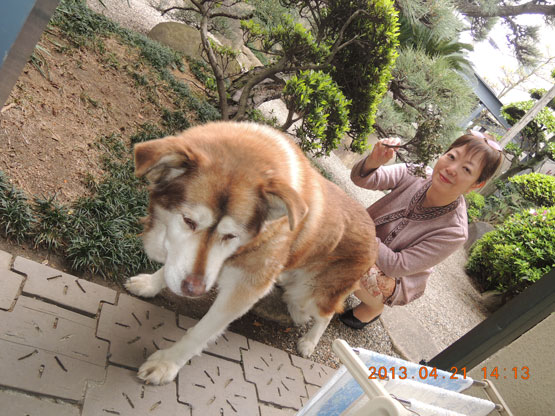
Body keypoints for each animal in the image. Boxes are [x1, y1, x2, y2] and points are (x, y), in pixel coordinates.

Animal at [125, 121, 377, 385]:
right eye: (188, 221)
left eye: (231, 235)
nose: (194, 290)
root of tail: (375, 233)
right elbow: (172, 267)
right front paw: (150, 284)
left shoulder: (244, 290)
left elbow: (200, 332)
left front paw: (167, 363)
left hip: (310, 293)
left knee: (326, 314)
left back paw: (309, 342)